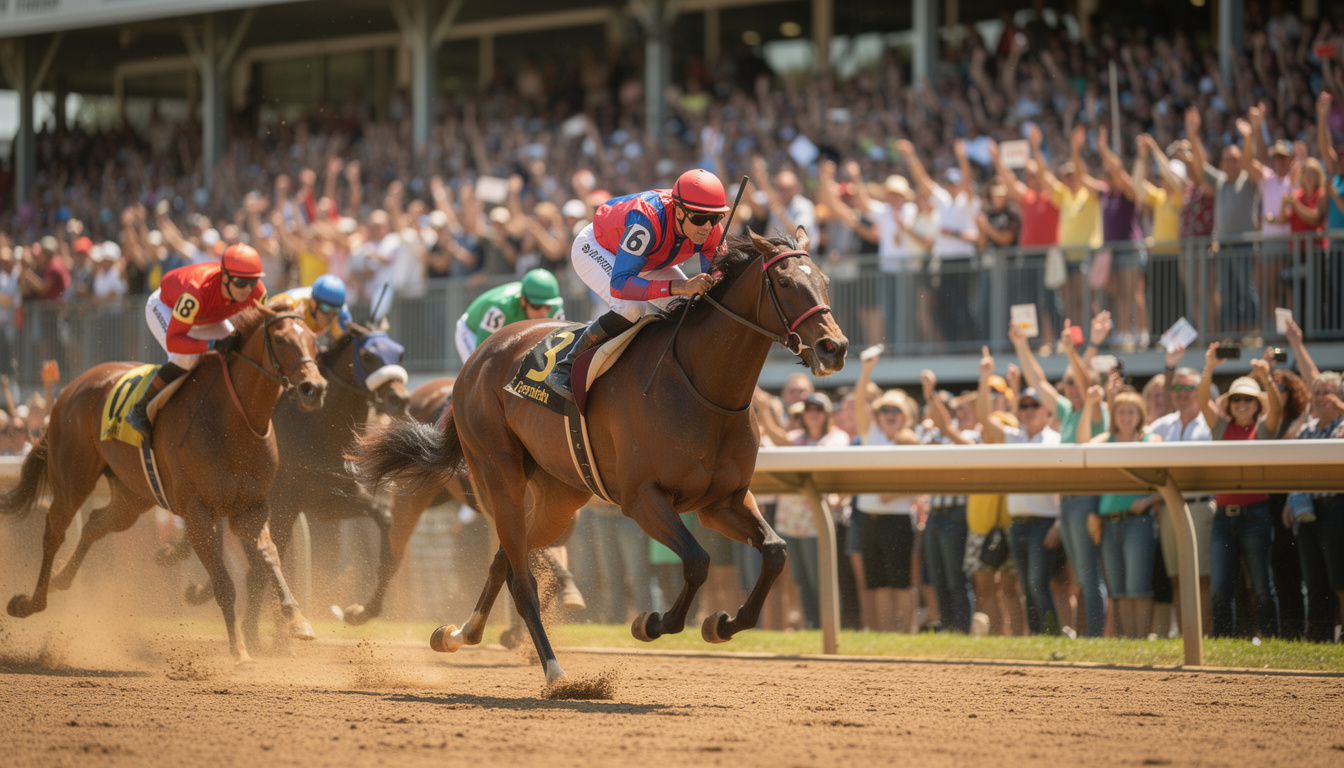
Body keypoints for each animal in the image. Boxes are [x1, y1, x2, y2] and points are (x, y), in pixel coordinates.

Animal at [1, 304, 327, 663]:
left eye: (313, 340)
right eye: (281, 339)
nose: (314, 388)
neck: (233, 420)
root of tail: (71, 389)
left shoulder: (252, 507)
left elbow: (270, 556)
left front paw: (298, 620)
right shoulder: (197, 512)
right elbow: (223, 582)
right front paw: (240, 651)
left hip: (132, 495)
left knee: (96, 522)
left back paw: (61, 579)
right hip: (72, 480)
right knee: (54, 532)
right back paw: (30, 602)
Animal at [351, 228, 847, 684]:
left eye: (824, 280)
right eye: (784, 281)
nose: (834, 347)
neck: (702, 387)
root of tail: (478, 359)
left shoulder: (722, 501)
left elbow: (776, 551)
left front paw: (722, 623)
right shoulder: (643, 498)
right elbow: (697, 562)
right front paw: (652, 622)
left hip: (559, 498)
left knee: (507, 559)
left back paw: (459, 634)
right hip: (495, 473)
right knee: (514, 576)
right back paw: (554, 672)